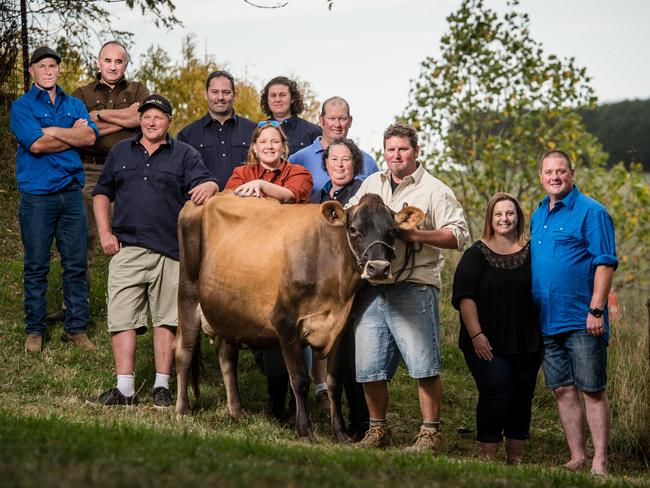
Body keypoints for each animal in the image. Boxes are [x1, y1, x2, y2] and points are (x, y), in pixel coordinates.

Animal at [175, 193, 422, 440]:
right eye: (353, 229)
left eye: (392, 231)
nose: (378, 268)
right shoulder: (284, 321)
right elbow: (300, 379)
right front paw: (304, 431)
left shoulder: (339, 326)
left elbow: (334, 383)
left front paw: (340, 432)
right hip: (188, 294)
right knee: (184, 352)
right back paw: (182, 410)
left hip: (228, 311)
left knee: (227, 357)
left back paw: (237, 411)